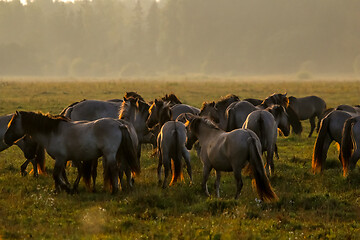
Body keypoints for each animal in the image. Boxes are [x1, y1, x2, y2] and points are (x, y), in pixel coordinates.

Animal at [3, 111, 139, 194]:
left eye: (13, 123)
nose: (5, 138)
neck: (52, 132)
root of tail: (119, 124)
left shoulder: (60, 159)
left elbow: (56, 175)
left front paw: (67, 188)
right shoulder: (68, 159)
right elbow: (65, 174)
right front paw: (62, 189)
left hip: (110, 154)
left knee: (115, 170)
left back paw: (115, 191)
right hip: (120, 154)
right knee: (122, 169)